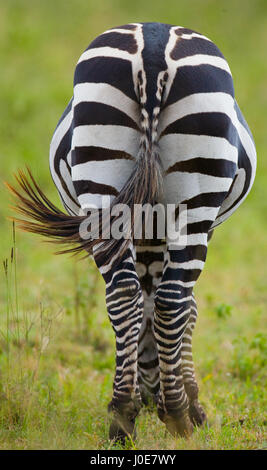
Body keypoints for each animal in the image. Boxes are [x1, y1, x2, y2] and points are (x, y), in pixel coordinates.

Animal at [7, 22, 256, 440]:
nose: (151, 399)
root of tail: (154, 45)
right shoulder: (197, 229)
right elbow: (188, 308)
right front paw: (192, 405)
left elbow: (144, 303)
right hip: (194, 204)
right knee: (172, 299)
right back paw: (177, 414)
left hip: (102, 189)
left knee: (124, 294)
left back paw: (122, 416)